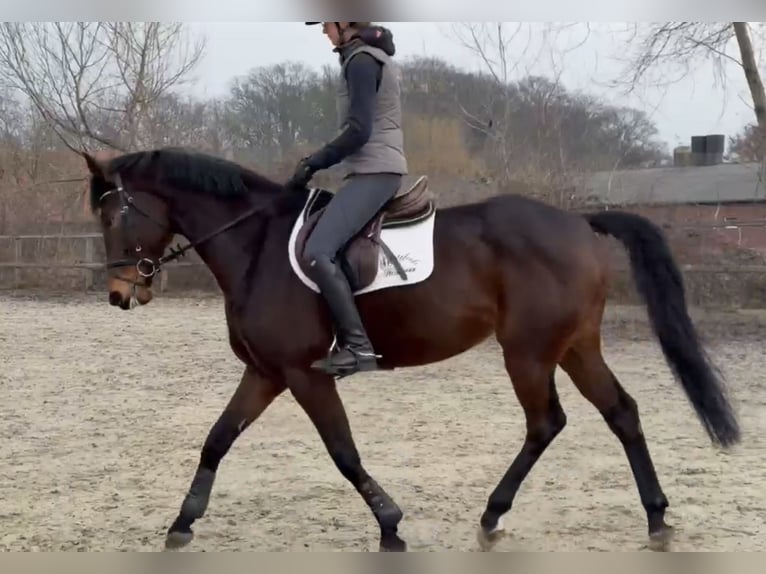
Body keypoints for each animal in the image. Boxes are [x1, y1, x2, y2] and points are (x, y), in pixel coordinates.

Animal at [80, 146, 740, 552]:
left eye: (113, 217)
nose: (119, 294)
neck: (256, 245)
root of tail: (579, 223)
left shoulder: (306, 374)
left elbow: (343, 454)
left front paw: (391, 527)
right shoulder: (266, 373)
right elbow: (217, 439)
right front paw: (181, 524)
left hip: (528, 352)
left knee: (546, 422)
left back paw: (493, 517)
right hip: (575, 346)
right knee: (620, 413)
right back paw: (655, 519)